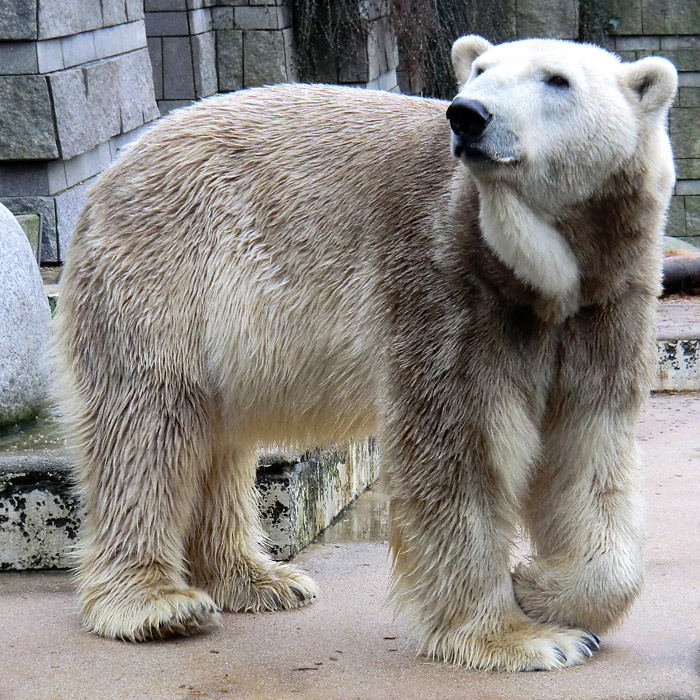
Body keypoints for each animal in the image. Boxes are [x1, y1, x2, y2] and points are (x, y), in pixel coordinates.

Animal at [54, 34, 680, 672]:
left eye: (557, 79)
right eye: (480, 69)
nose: (467, 114)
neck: (540, 279)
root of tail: (115, 170)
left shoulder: (606, 301)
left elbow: (588, 448)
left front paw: (544, 588)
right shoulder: (444, 284)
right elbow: (459, 449)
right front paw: (519, 635)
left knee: (215, 438)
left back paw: (259, 580)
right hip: (165, 272)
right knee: (148, 425)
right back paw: (156, 604)